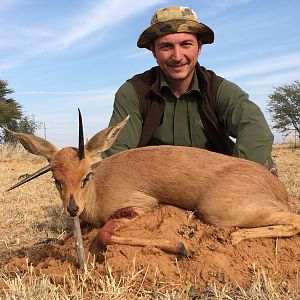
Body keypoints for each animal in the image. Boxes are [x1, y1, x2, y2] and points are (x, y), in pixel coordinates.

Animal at [4, 109, 300, 254]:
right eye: (56, 180)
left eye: (86, 175)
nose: (73, 209)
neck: (97, 191)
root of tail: (277, 187)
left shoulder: (138, 206)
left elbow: (104, 233)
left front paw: (184, 246)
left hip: (219, 211)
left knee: (294, 220)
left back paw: (237, 237)